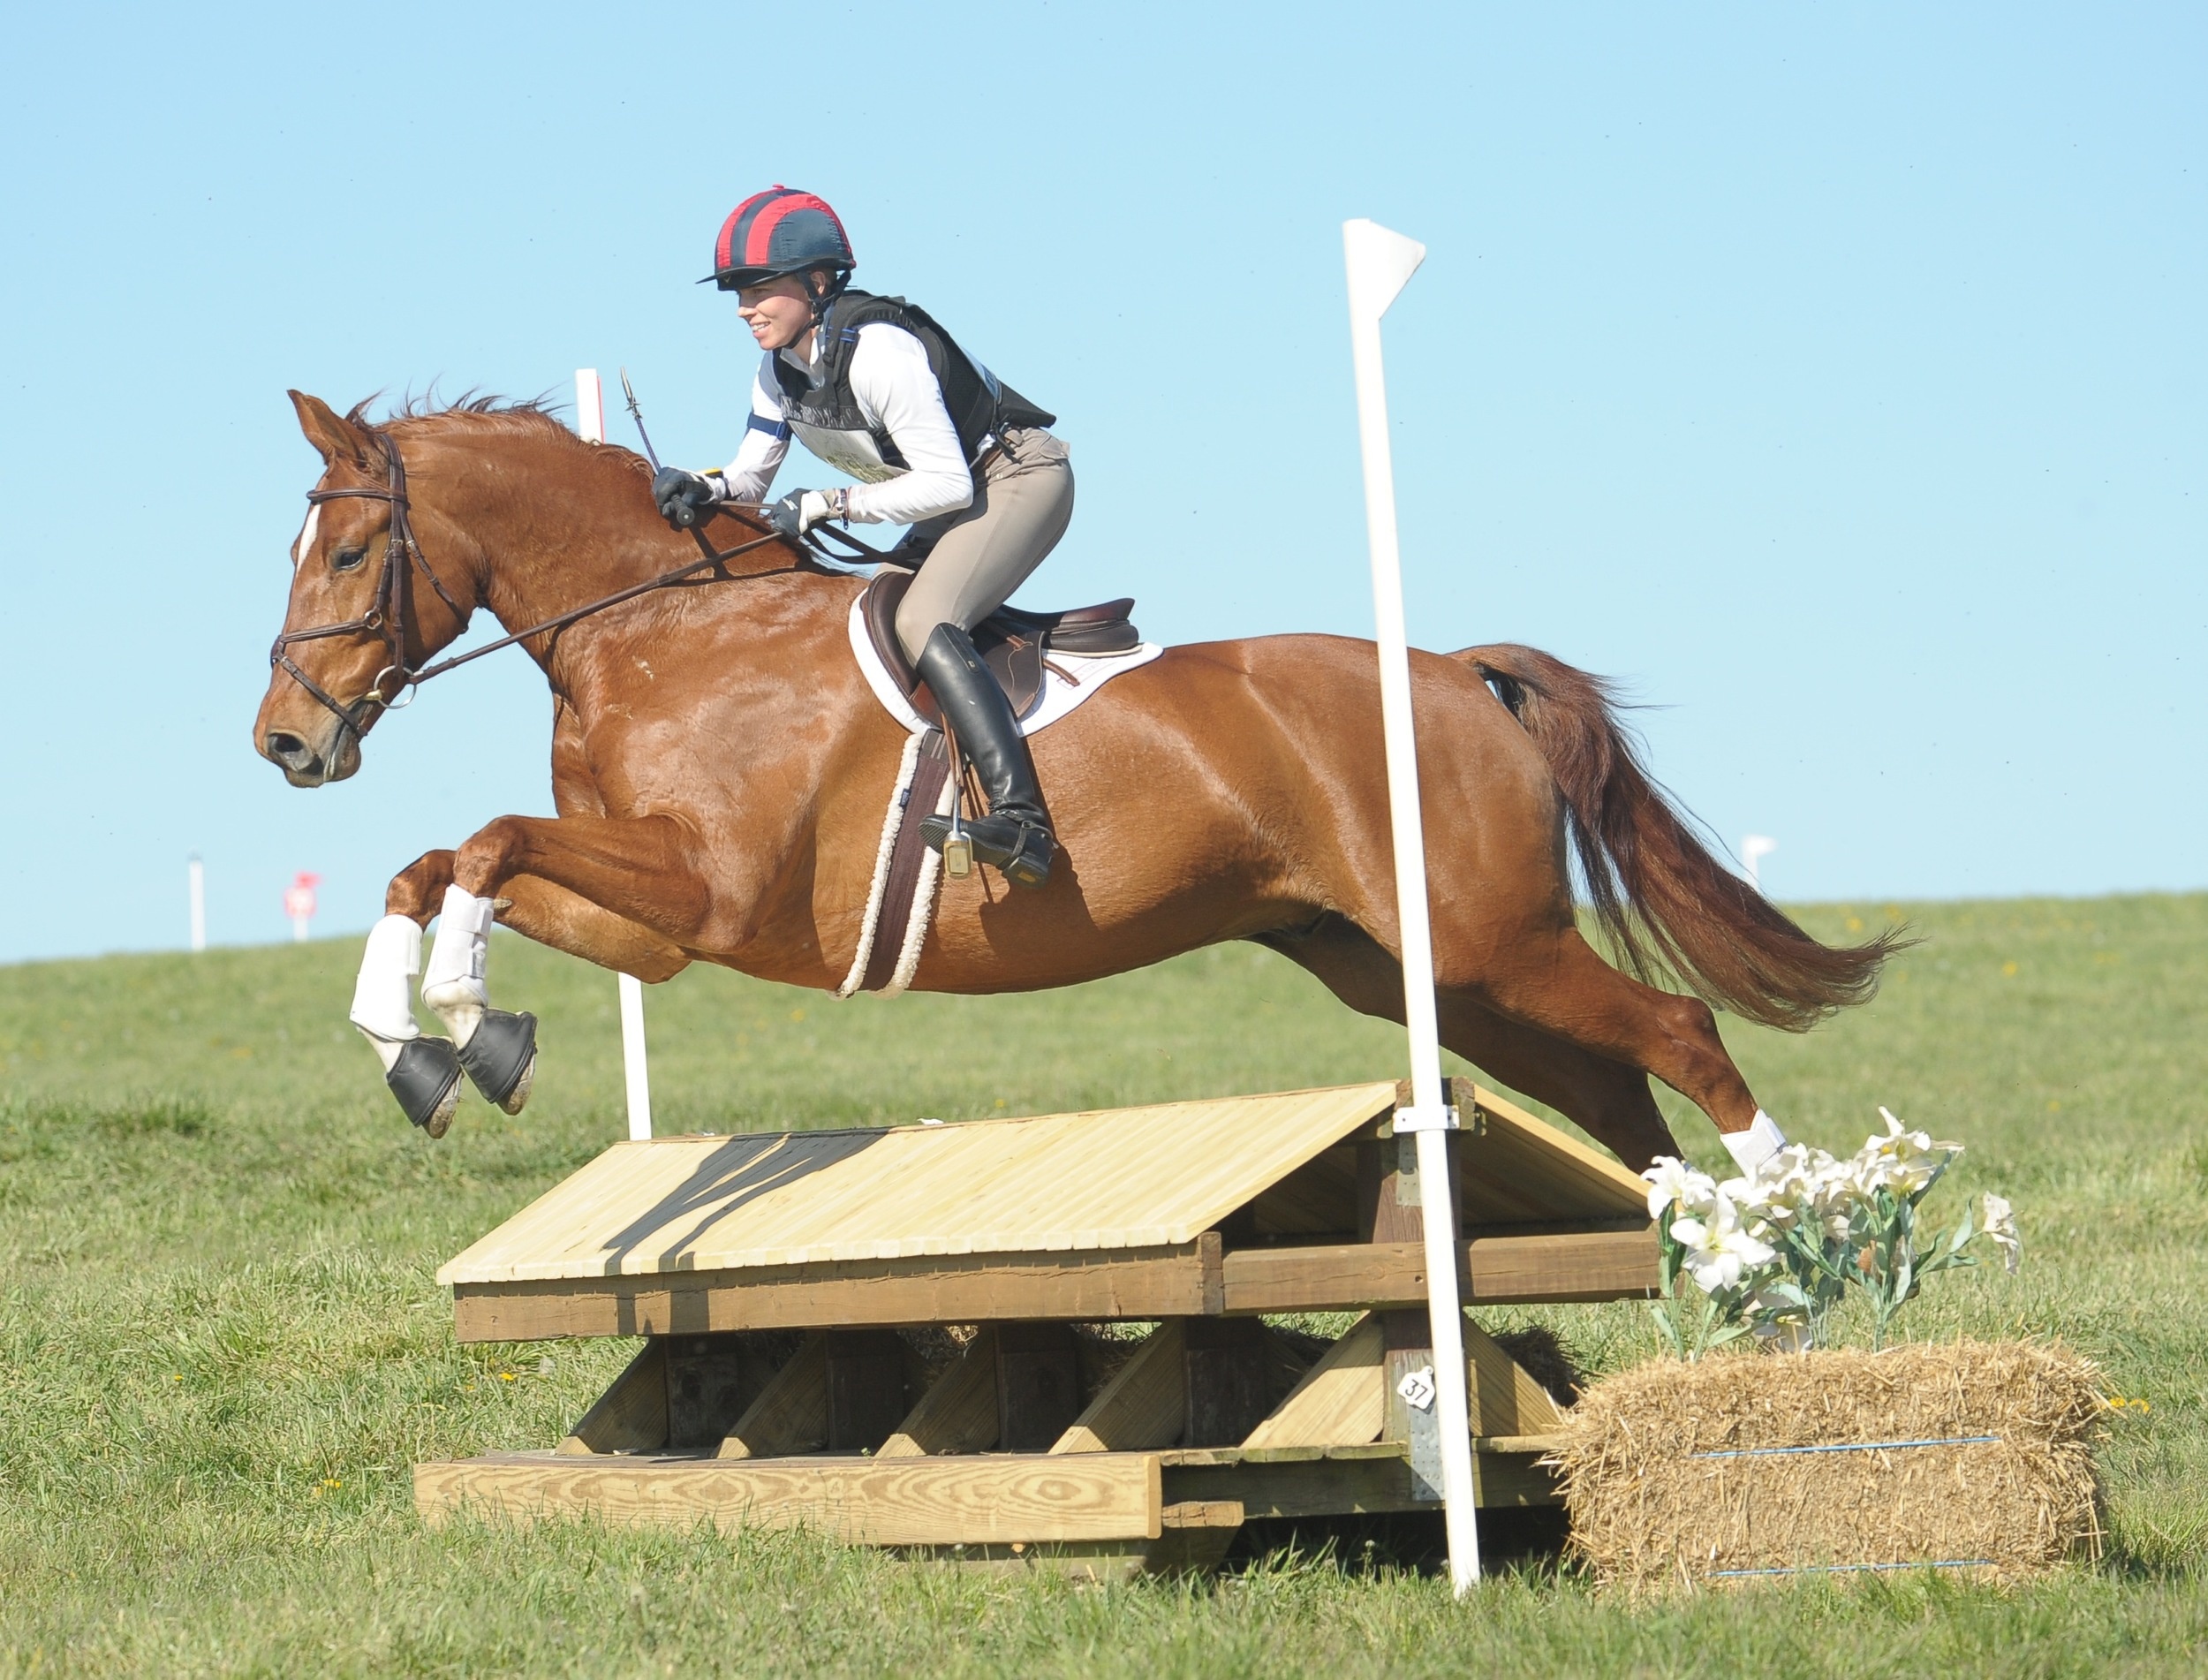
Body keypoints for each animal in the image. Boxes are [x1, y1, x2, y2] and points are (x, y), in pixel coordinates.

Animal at [250, 390, 1890, 1165]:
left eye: (351, 549)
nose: (286, 743)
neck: (664, 627)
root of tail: (1448, 668)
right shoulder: (656, 925)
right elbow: (437, 862)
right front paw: (431, 1043)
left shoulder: (705, 890)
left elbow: (480, 844)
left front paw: (464, 1013)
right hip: (1410, 962)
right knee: (1611, 1092)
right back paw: (1708, 1268)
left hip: (1490, 939)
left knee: (1678, 1032)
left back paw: (1797, 1227)